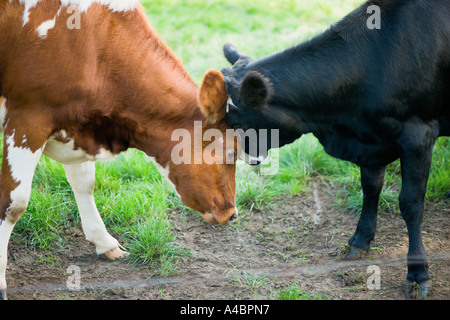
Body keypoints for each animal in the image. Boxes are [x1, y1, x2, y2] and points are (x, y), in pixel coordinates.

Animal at [0, 0, 237, 300]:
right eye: (231, 153)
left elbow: (84, 184)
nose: (233, 214)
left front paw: (103, 240)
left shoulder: (75, 122)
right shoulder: (27, 119)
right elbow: (14, 203)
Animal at [220, 0, 448, 298]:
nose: (231, 155)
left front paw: (418, 275)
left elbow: (410, 203)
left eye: (237, 121)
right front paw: (360, 241)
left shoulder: (419, 133)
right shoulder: (371, 138)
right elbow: (370, 187)